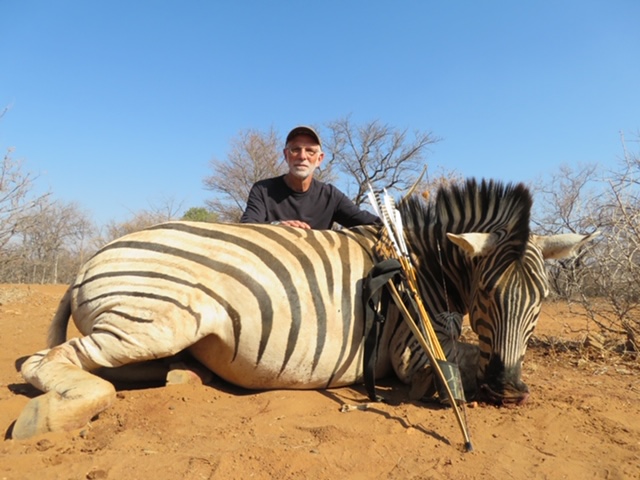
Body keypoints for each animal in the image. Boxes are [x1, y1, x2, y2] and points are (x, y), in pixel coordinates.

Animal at [12, 179, 596, 440]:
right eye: (486, 295)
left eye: (542, 301)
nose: (511, 391)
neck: (420, 264)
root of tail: (89, 262)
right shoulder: (413, 349)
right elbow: (459, 366)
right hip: (156, 321)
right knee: (47, 363)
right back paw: (44, 417)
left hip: (156, 334)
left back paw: (186, 375)